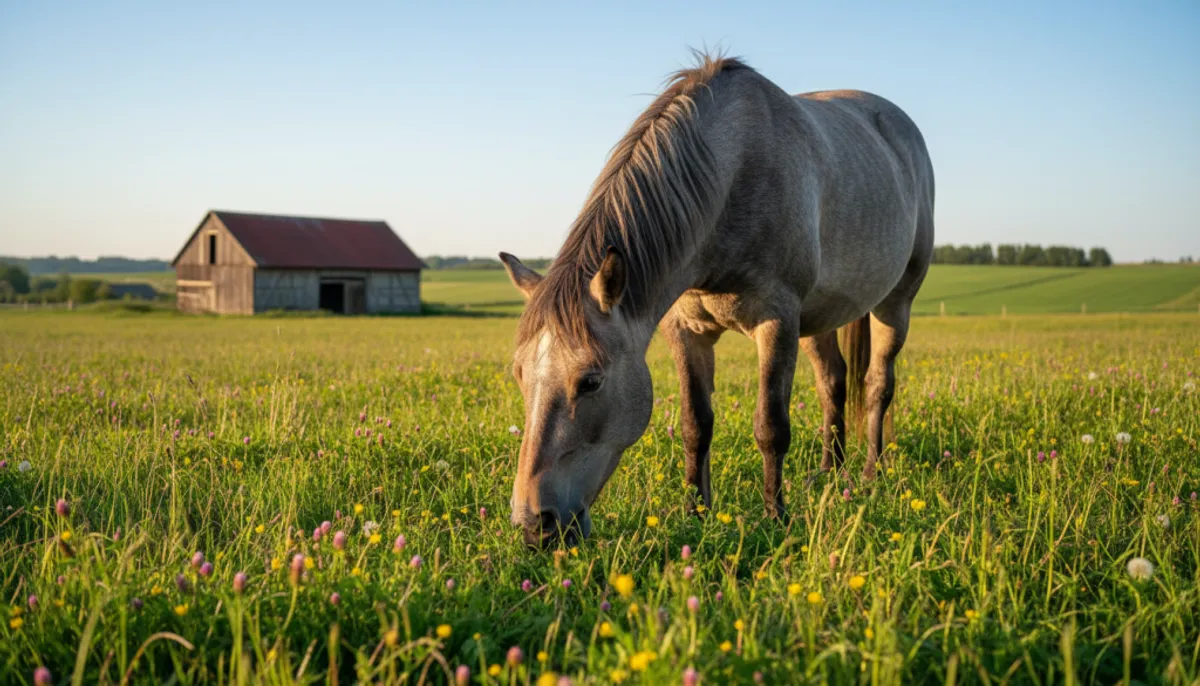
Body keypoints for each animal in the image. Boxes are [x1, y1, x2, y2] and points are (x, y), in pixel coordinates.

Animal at [499, 52, 934, 548]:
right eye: (519, 374)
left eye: (590, 381)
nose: (534, 523)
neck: (732, 175)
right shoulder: (687, 330)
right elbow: (696, 425)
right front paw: (696, 513)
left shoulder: (777, 321)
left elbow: (771, 427)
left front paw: (775, 518)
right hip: (817, 318)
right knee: (833, 382)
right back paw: (829, 473)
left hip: (894, 304)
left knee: (877, 384)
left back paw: (868, 475)